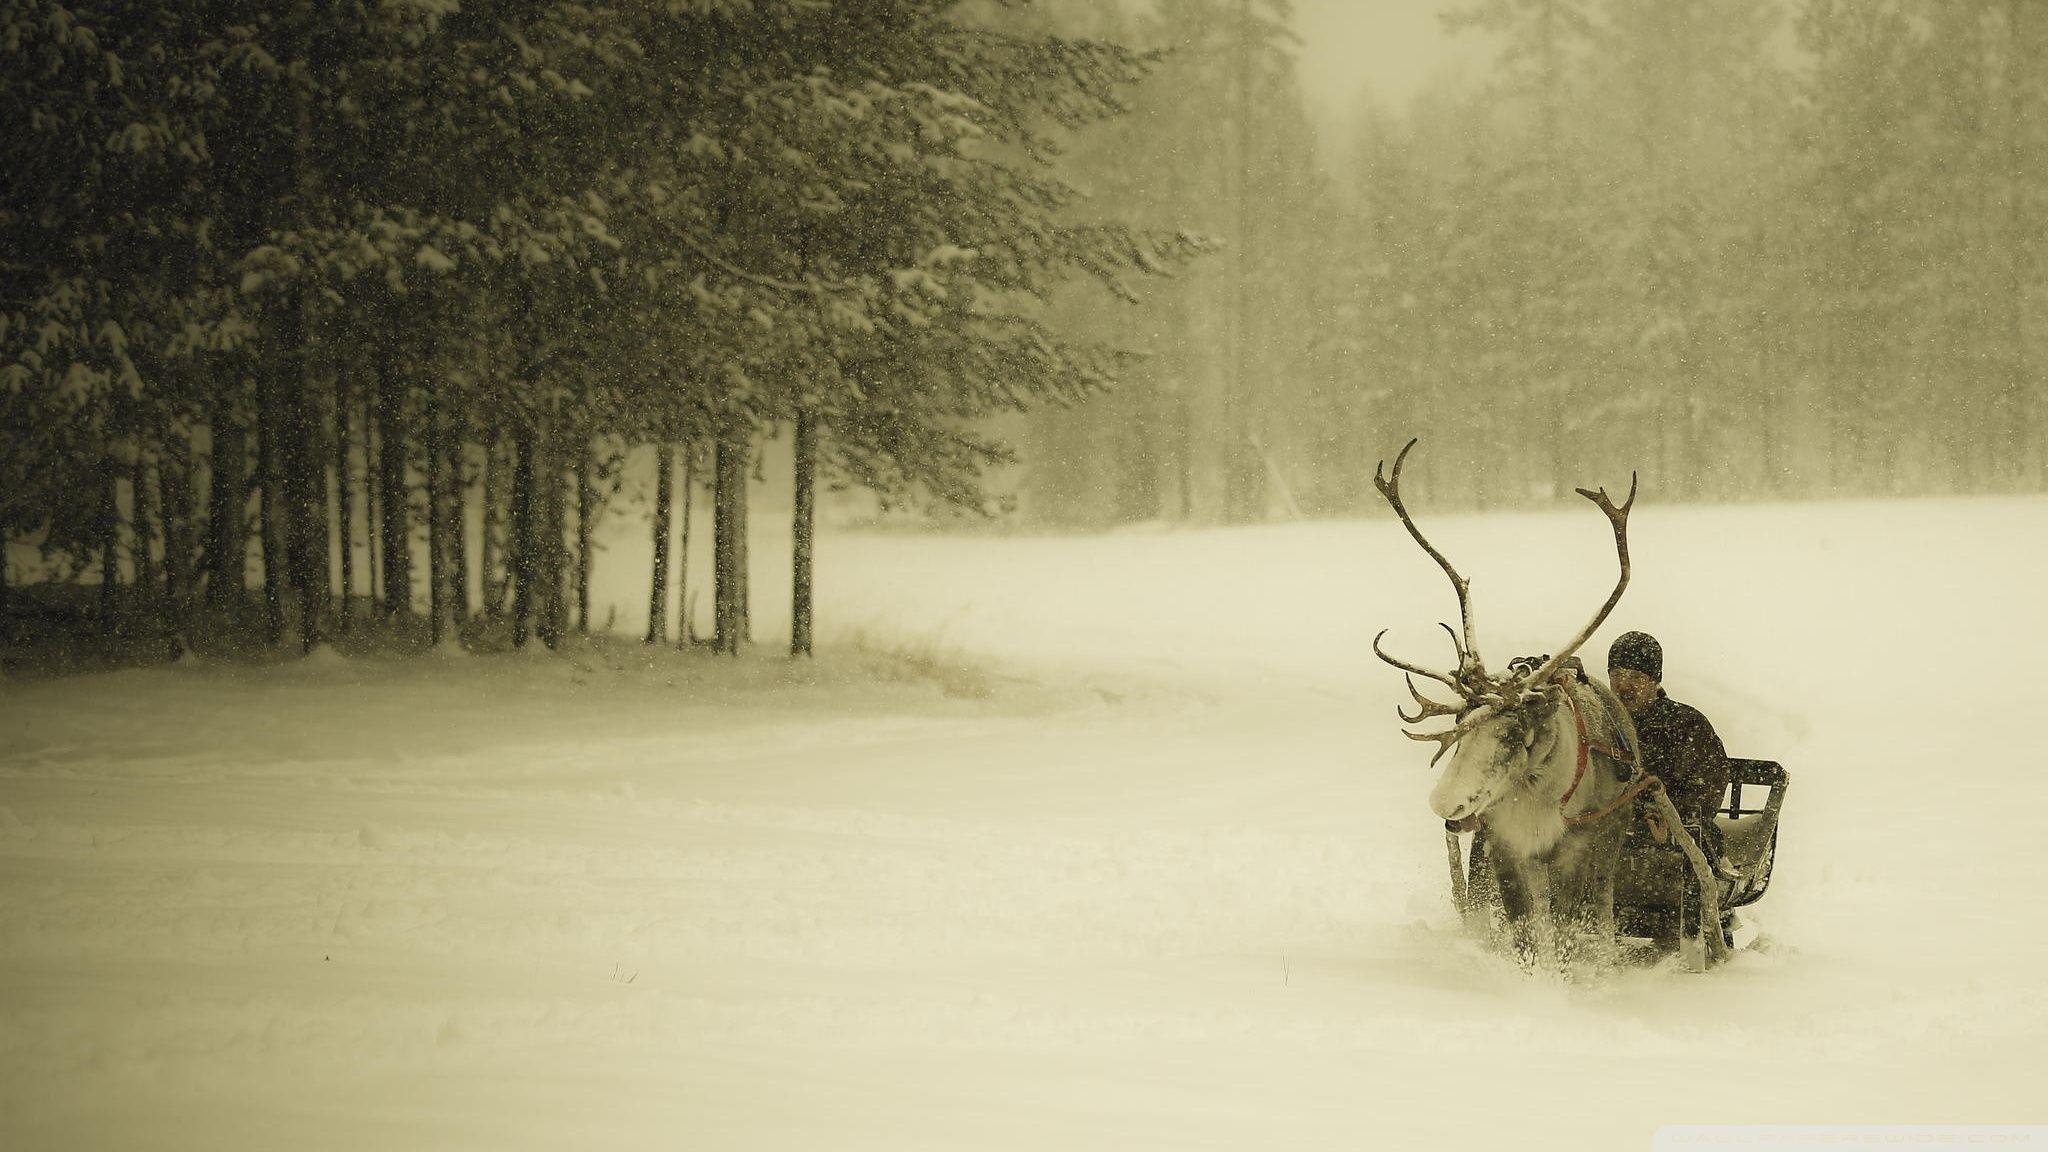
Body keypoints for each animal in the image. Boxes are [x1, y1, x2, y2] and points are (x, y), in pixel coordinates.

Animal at [1371, 439, 1656, 968]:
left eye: (1510, 734)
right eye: (1462, 725)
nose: (1443, 803)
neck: (1536, 795)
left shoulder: (1575, 848)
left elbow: (1565, 930)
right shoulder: (1503, 847)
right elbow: (1522, 929)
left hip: (1612, 843)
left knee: (1601, 911)